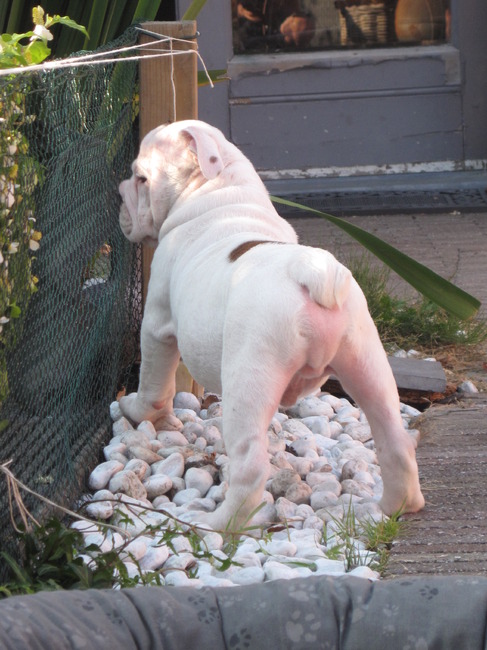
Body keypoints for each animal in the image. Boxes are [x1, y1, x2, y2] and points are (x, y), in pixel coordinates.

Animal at [118, 119, 425, 531]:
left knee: (250, 466)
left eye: (140, 178)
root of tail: (308, 271)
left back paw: (218, 525)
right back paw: (394, 506)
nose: (120, 193)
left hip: (249, 377)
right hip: (366, 360)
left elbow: (153, 382)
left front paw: (138, 411)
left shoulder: (156, 322)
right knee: (394, 438)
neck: (221, 190)